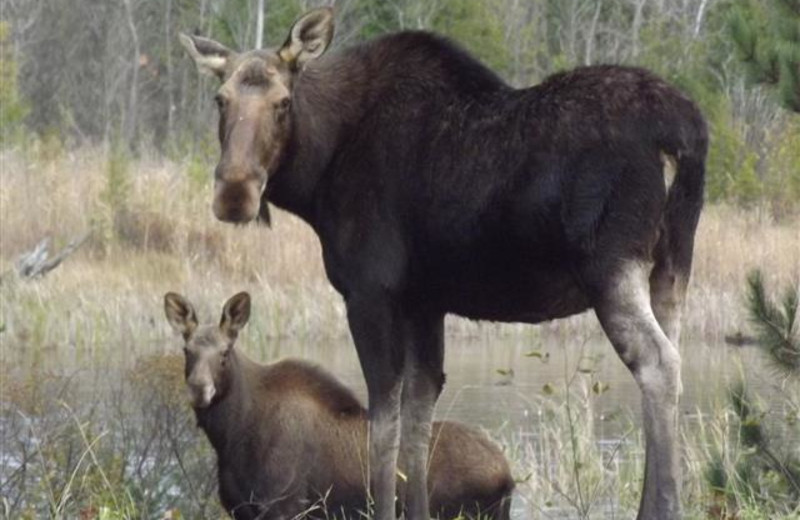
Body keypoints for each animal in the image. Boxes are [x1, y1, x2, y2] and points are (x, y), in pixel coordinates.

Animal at [164, 290, 512, 516]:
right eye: (186, 351)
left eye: (224, 353)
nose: (199, 389)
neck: (231, 436)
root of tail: (507, 476)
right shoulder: (241, 509)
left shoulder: (284, 505)